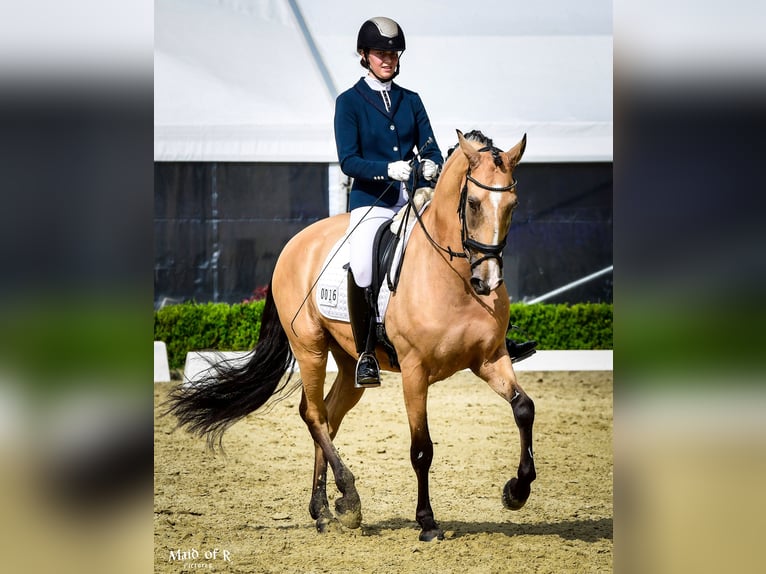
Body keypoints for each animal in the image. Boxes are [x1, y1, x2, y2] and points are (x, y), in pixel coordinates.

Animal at [166, 130, 540, 544]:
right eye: (473, 204)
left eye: (512, 204)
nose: (487, 281)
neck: (453, 277)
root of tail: (294, 243)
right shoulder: (415, 372)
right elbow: (421, 448)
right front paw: (427, 522)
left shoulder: (490, 359)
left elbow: (524, 409)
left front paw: (516, 492)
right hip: (310, 349)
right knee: (313, 414)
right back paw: (348, 497)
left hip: (349, 362)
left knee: (329, 416)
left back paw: (324, 511)